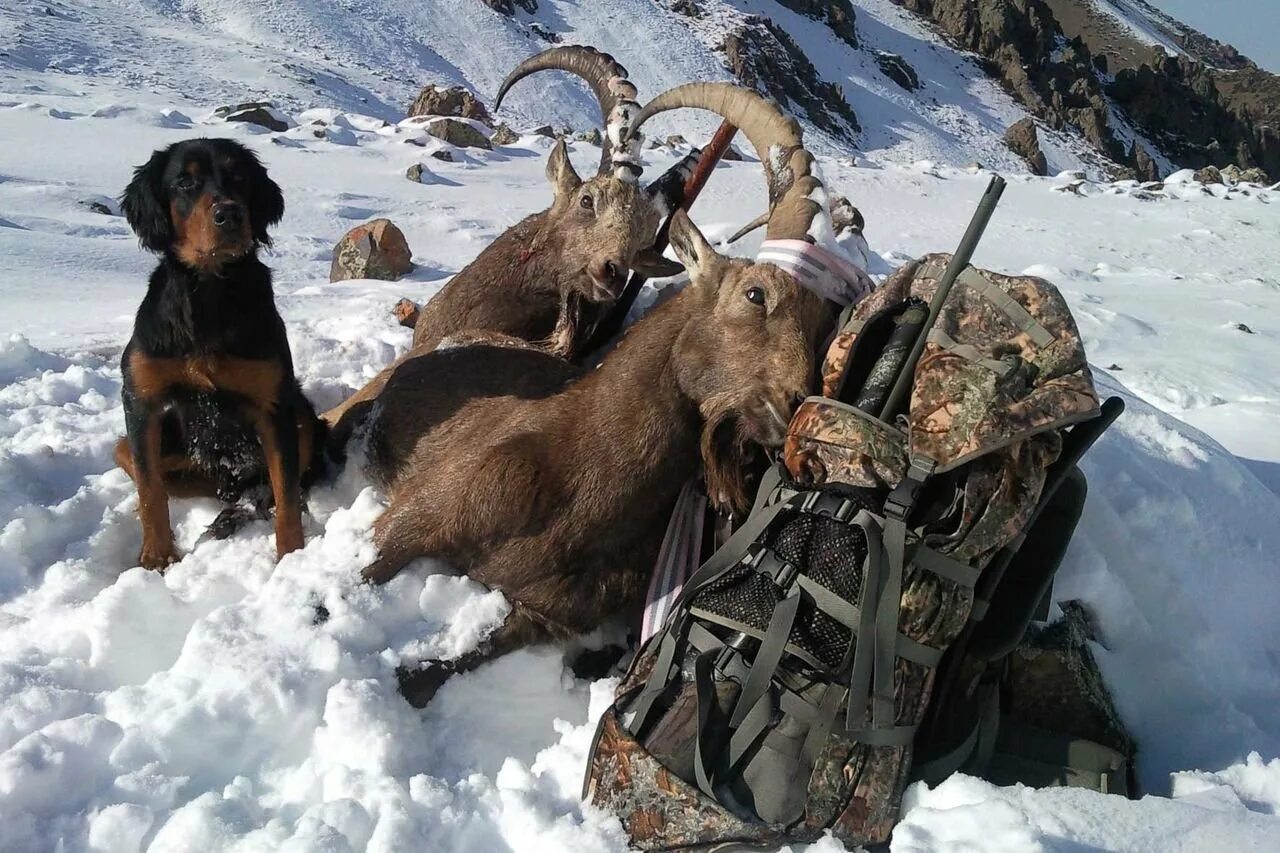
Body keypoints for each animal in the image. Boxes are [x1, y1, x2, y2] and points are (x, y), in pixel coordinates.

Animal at [115, 136, 325, 568]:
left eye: (239, 177)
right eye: (184, 181)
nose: (229, 214)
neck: (209, 294)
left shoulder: (275, 405)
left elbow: (287, 491)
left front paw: (292, 557)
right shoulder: (140, 399)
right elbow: (149, 487)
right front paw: (157, 555)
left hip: (302, 414)